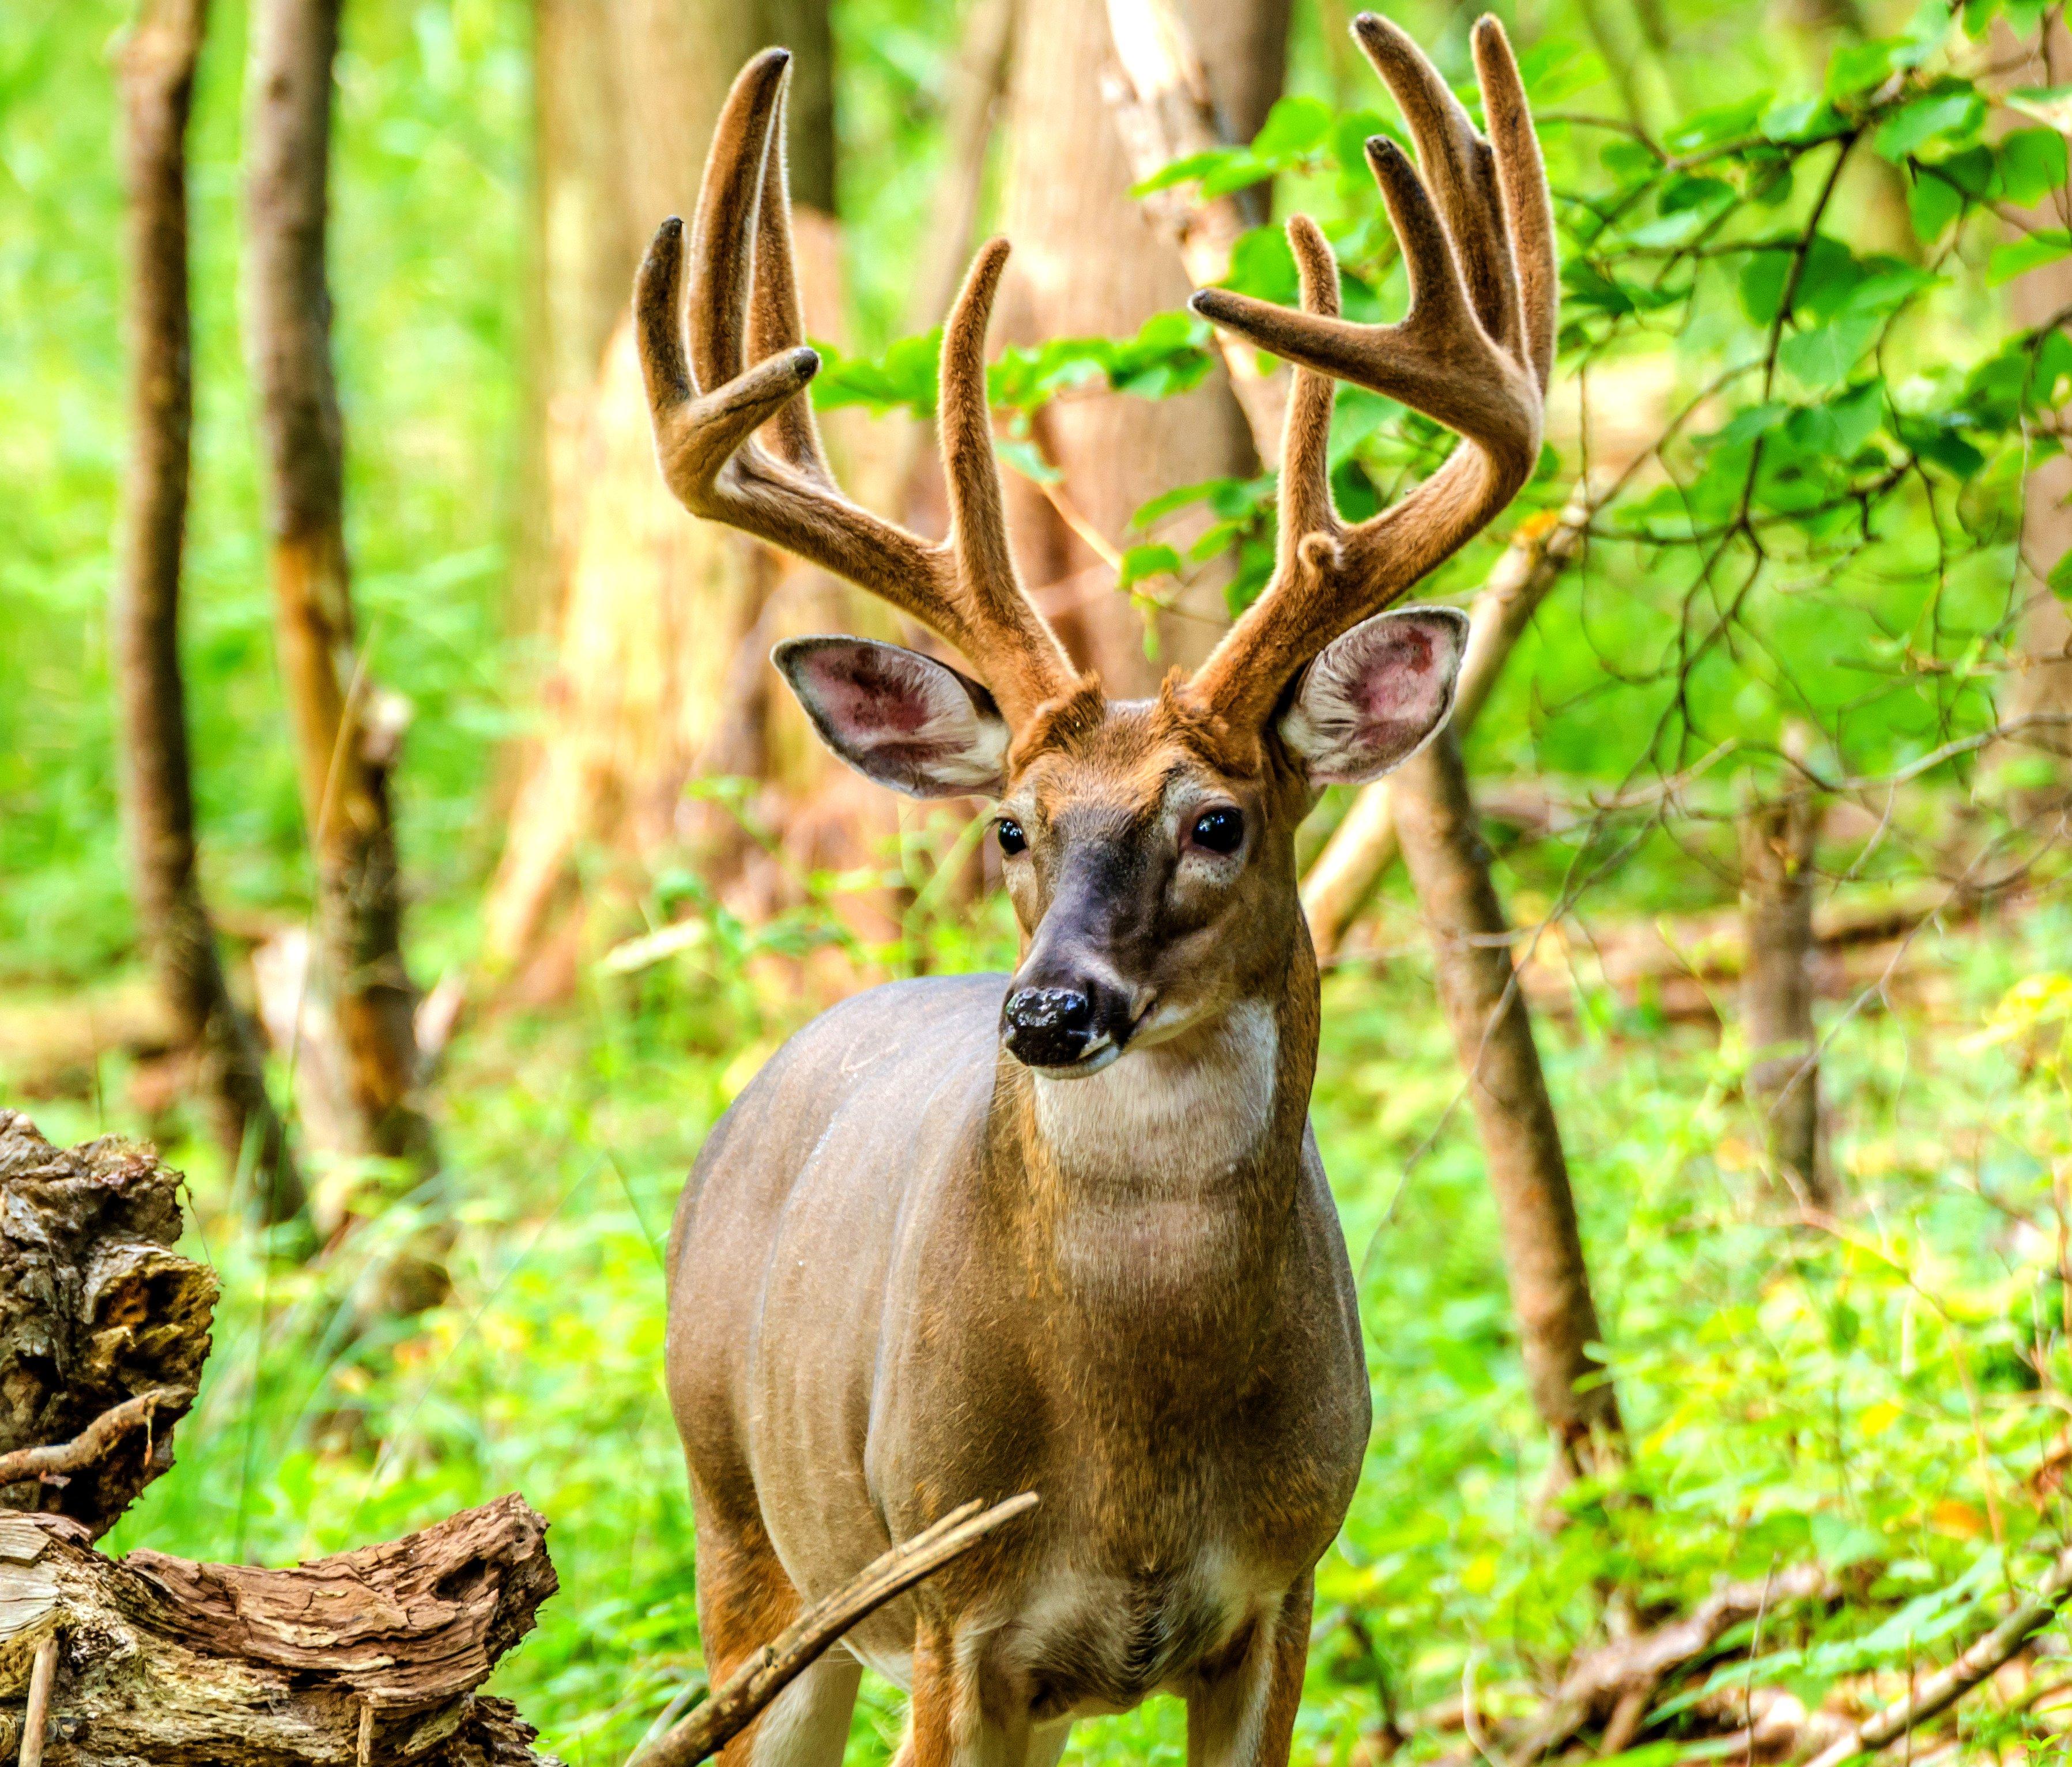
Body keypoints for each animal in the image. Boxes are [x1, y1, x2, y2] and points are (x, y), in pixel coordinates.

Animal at [646, 17, 1558, 1765]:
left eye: (1216, 822)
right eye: (1011, 826)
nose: (1049, 1012)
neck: (1136, 1455)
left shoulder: (1282, 1588)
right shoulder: (950, 1605)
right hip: (749, 1526)